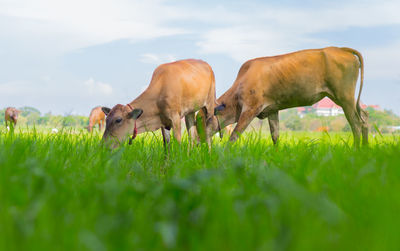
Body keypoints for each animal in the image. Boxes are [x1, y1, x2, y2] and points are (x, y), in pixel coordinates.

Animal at [200, 46, 368, 147]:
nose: (198, 141)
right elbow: (275, 135)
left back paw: (355, 149)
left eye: (200, 119)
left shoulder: (250, 109)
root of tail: (339, 49)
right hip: (349, 99)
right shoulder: (271, 110)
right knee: (364, 118)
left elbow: (234, 135)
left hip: (344, 97)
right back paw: (364, 150)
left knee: (356, 123)